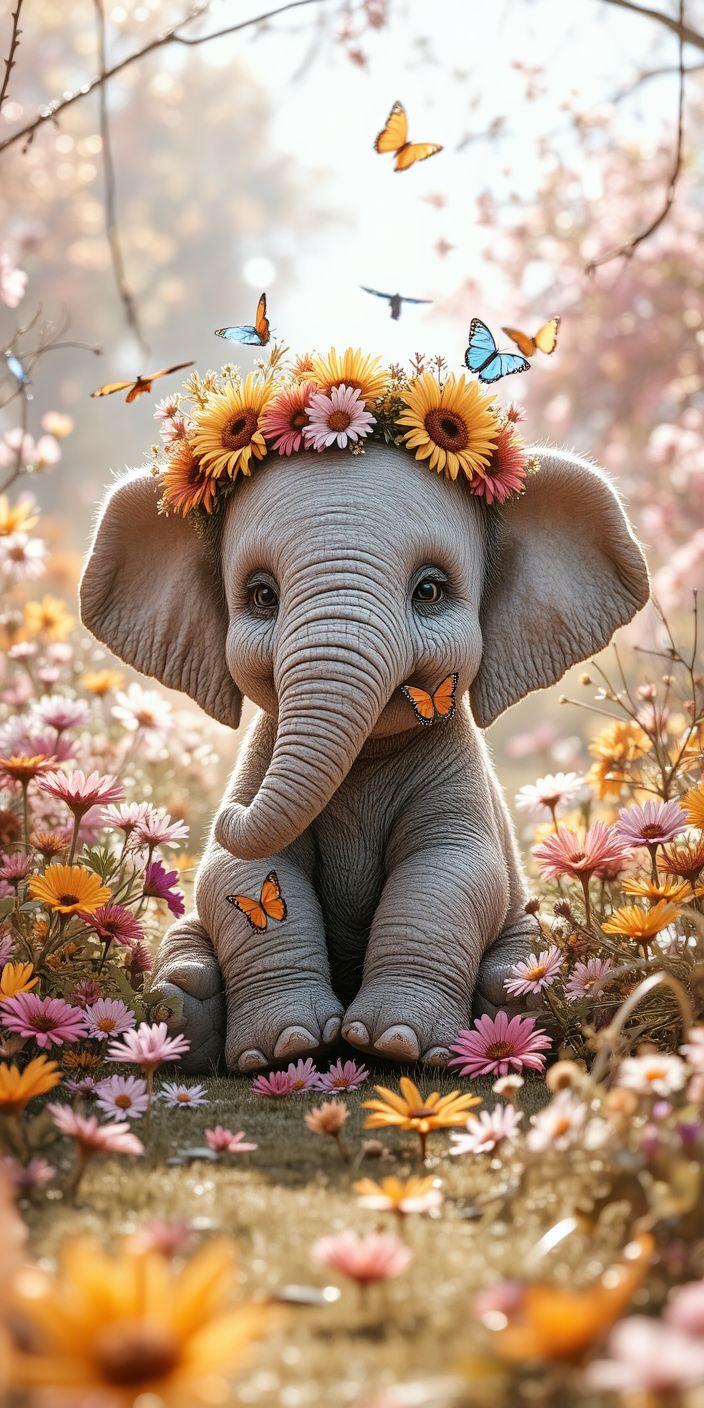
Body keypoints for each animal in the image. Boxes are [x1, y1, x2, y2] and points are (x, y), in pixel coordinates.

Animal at [80, 442, 649, 1073]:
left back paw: (515, 998)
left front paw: (395, 1043)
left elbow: (449, 869)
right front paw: (286, 1049)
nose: (226, 814)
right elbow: (240, 872)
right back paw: (181, 1005)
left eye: (430, 591)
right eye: (262, 597)